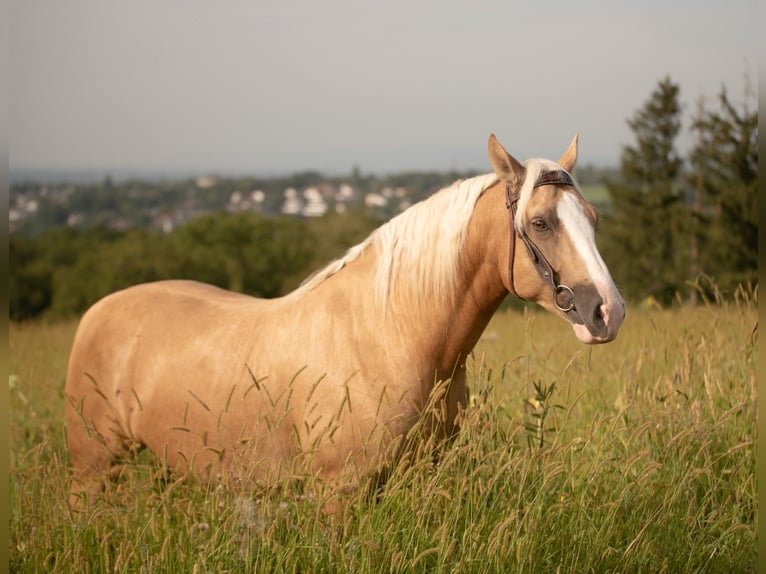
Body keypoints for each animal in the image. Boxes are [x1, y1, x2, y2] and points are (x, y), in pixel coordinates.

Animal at [66, 136, 628, 512]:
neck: (388, 334)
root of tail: (98, 311)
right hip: (94, 469)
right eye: (540, 223)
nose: (607, 311)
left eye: (595, 218)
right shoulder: (338, 492)